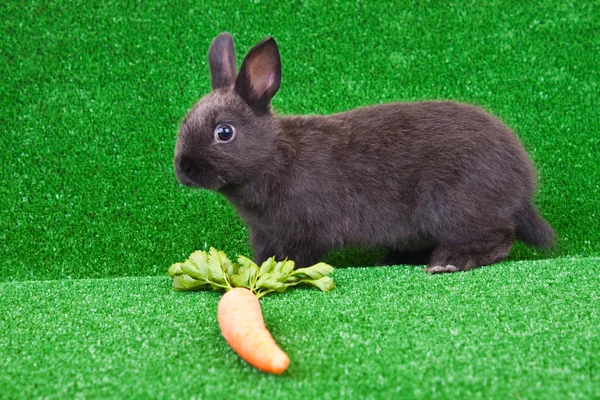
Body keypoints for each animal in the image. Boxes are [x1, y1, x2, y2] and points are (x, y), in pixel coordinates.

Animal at [172, 32, 552, 274]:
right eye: (185, 120)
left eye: (224, 133)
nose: (183, 169)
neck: (276, 158)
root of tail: (523, 186)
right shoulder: (263, 234)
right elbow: (263, 255)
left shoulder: (304, 230)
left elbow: (297, 257)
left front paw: (279, 272)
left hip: (455, 207)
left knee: (500, 238)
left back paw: (448, 261)